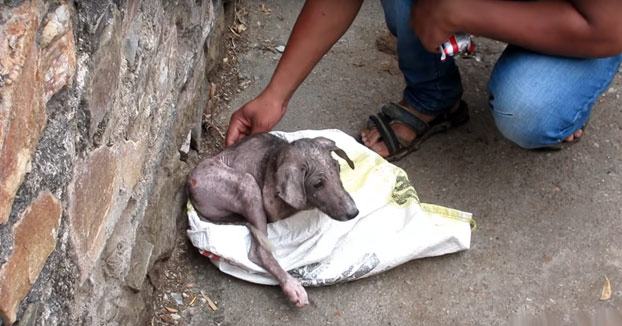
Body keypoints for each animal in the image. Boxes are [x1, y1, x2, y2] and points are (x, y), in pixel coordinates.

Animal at [186, 132, 360, 306]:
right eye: (318, 184)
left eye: (339, 169)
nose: (354, 213)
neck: (279, 156)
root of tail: (190, 187)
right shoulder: (273, 210)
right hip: (247, 184)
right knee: (259, 252)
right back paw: (292, 286)